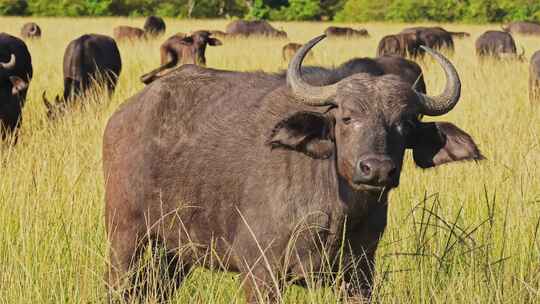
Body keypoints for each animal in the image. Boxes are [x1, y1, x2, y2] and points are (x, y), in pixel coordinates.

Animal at [103, 35, 484, 302]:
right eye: (347, 118)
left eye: (405, 123)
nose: (376, 170)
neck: (338, 210)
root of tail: (123, 117)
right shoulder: (261, 272)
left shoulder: (359, 274)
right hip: (125, 240)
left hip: (172, 256)